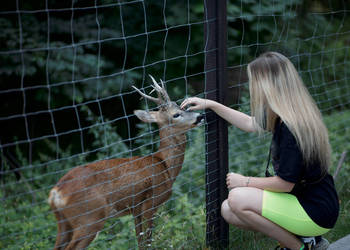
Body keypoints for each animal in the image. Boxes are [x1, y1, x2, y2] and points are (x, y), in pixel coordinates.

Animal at [47, 75, 204, 249]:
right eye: (176, 114)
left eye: (185, 108)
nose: (200, 116)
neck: (164, 165)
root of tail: (56, 192)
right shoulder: (151, 202)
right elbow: (148, 241)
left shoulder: (135, 209)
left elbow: (140, 241)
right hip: (90, 218)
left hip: (64, 223)